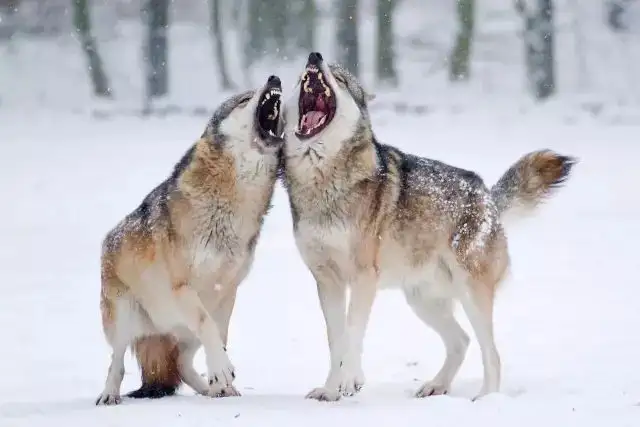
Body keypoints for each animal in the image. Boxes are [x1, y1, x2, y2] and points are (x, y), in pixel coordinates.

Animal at [95, 75, 284, 406]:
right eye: (244, 99)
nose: (274, 77)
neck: (230, 204)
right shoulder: (182, 287)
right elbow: (208, 328)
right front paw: (221, 372)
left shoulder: (227, 292)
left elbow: (218, 338)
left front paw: (222, 380)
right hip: (123, 318)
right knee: (116, 362)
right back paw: (109, 395)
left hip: (186, 328)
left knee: (181, 364)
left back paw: (215, 389)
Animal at [280, 51, 576, 402]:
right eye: (300, 78)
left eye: (340, 79)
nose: (315, 56)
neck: (322, 181)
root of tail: (488, 196)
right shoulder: (327, 281)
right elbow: (335, 341)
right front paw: (330, 390)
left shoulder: (364, 278)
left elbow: (352, 333)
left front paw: (350, 381)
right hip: (422, 301)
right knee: (461, 341)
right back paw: (437, 385)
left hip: (470, 294)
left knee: (491, 352)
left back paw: (486, 399)